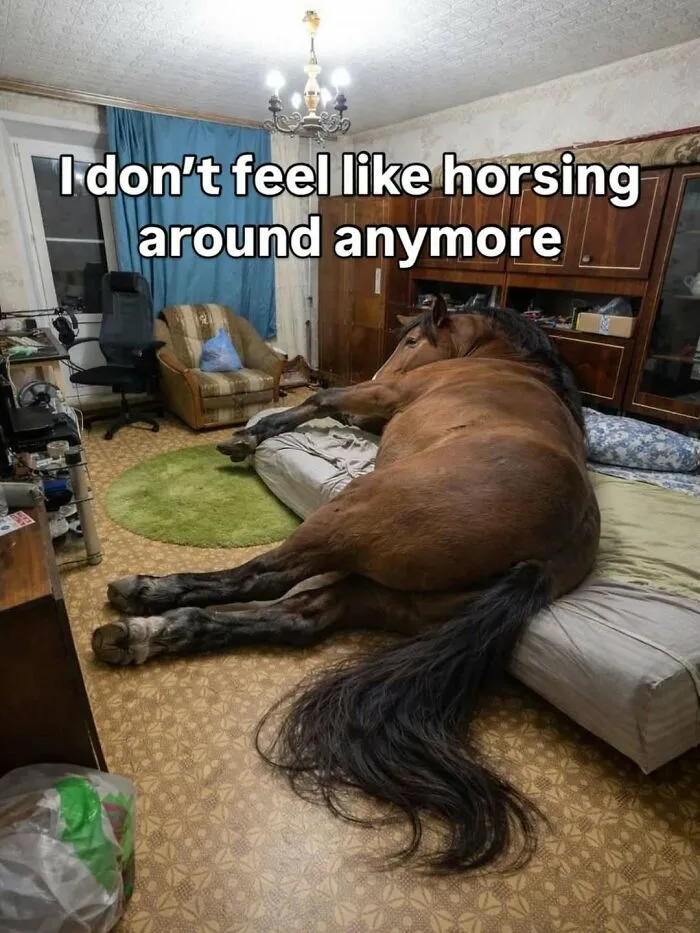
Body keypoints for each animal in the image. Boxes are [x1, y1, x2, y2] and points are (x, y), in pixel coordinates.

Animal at [92, 297, 600, 873]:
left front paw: (246, 437)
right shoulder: (376, 409)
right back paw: (158, 633)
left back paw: (148, 598)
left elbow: (322, 397)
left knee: (263, 577)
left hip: (343, 523)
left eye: (411, 342)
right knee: (300, 616)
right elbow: (333, 410)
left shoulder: (386, 397)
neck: (505, 364)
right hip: (392, 599)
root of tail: (548, 559)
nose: (383, 371)